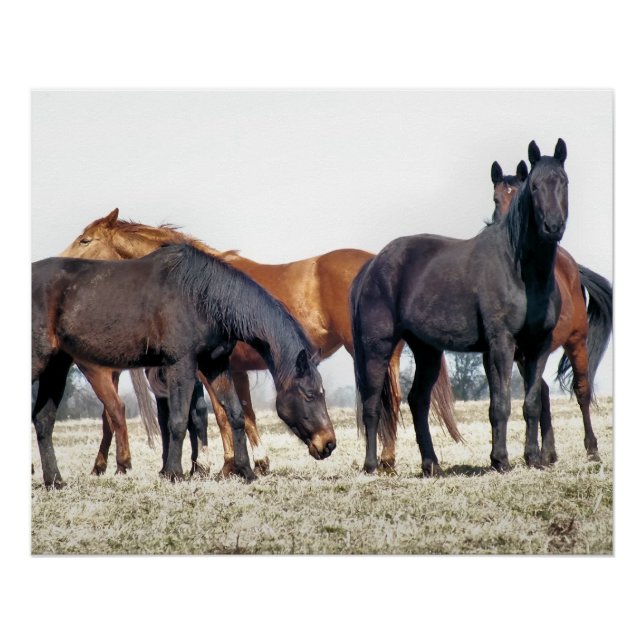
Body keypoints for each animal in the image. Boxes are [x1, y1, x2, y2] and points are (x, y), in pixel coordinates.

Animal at [32, 244, 336, 488]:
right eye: (309, 394)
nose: (329, 444)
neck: (202, 296)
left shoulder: (215, 365)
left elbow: (235, 414)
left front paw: (246, 471)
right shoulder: (181, 365)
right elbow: (178, 420)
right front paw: (174, 473)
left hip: (57, 367)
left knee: (43, 420)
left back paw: (55, 481)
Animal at [60, 211, 461, 476]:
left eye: (85, 240)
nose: (61, 263)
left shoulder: (210, 368)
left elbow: (220, 415)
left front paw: (228, 466)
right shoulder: (232, 369)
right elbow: (242, 414)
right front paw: (254, 462)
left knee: (387, 399)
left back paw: (384, 461)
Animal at [351, 139, 570, 475]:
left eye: (563, 182)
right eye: (534, 187)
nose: (553, 226)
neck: (519, 269)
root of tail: (372, 265)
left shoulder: (538, 346)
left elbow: (531, 402)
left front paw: (532, 458)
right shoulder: (501, 344)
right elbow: (501, 404)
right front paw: (501, 460)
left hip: (427, 350)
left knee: (418, 401)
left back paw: (431, 465)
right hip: (378, 347)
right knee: (373, 404)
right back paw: (372, 465)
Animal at [491, 160, 612, 462]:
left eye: (520, 196)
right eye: (496, 199)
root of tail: (573, 266)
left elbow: (535, 396)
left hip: (576, 342)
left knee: (581, 390)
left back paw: (591, 448)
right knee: (543, 390)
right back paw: (549, 451)